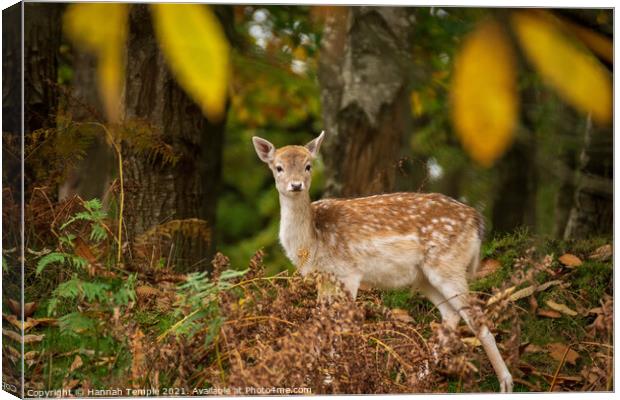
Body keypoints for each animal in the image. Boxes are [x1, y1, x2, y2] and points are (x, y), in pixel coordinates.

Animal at [251, 130, 512, 390]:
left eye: (308, 166)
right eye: (278, 167)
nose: (296, 185)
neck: (313, 240)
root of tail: (477, 220)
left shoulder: (349, 273)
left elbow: (338, 325)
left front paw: (330, 378)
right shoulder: (324, 279)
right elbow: (319, 323)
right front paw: (310, 378)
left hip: (448, 264)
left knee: (475, 317)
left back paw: (505, 383)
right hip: (426, 277)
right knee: (451, 315)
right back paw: (416, 378)